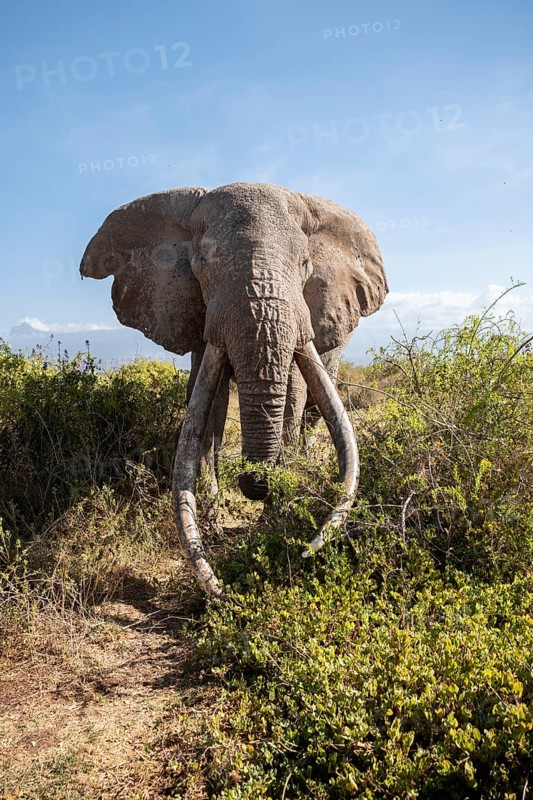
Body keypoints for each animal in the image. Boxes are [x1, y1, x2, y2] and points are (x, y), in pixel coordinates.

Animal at [80, 182, 388, 598]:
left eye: (305, 263)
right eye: (203, 261)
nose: (257, 483)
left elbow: (292, 395)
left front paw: (276, 517)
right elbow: (206, 404)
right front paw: (212, 525)